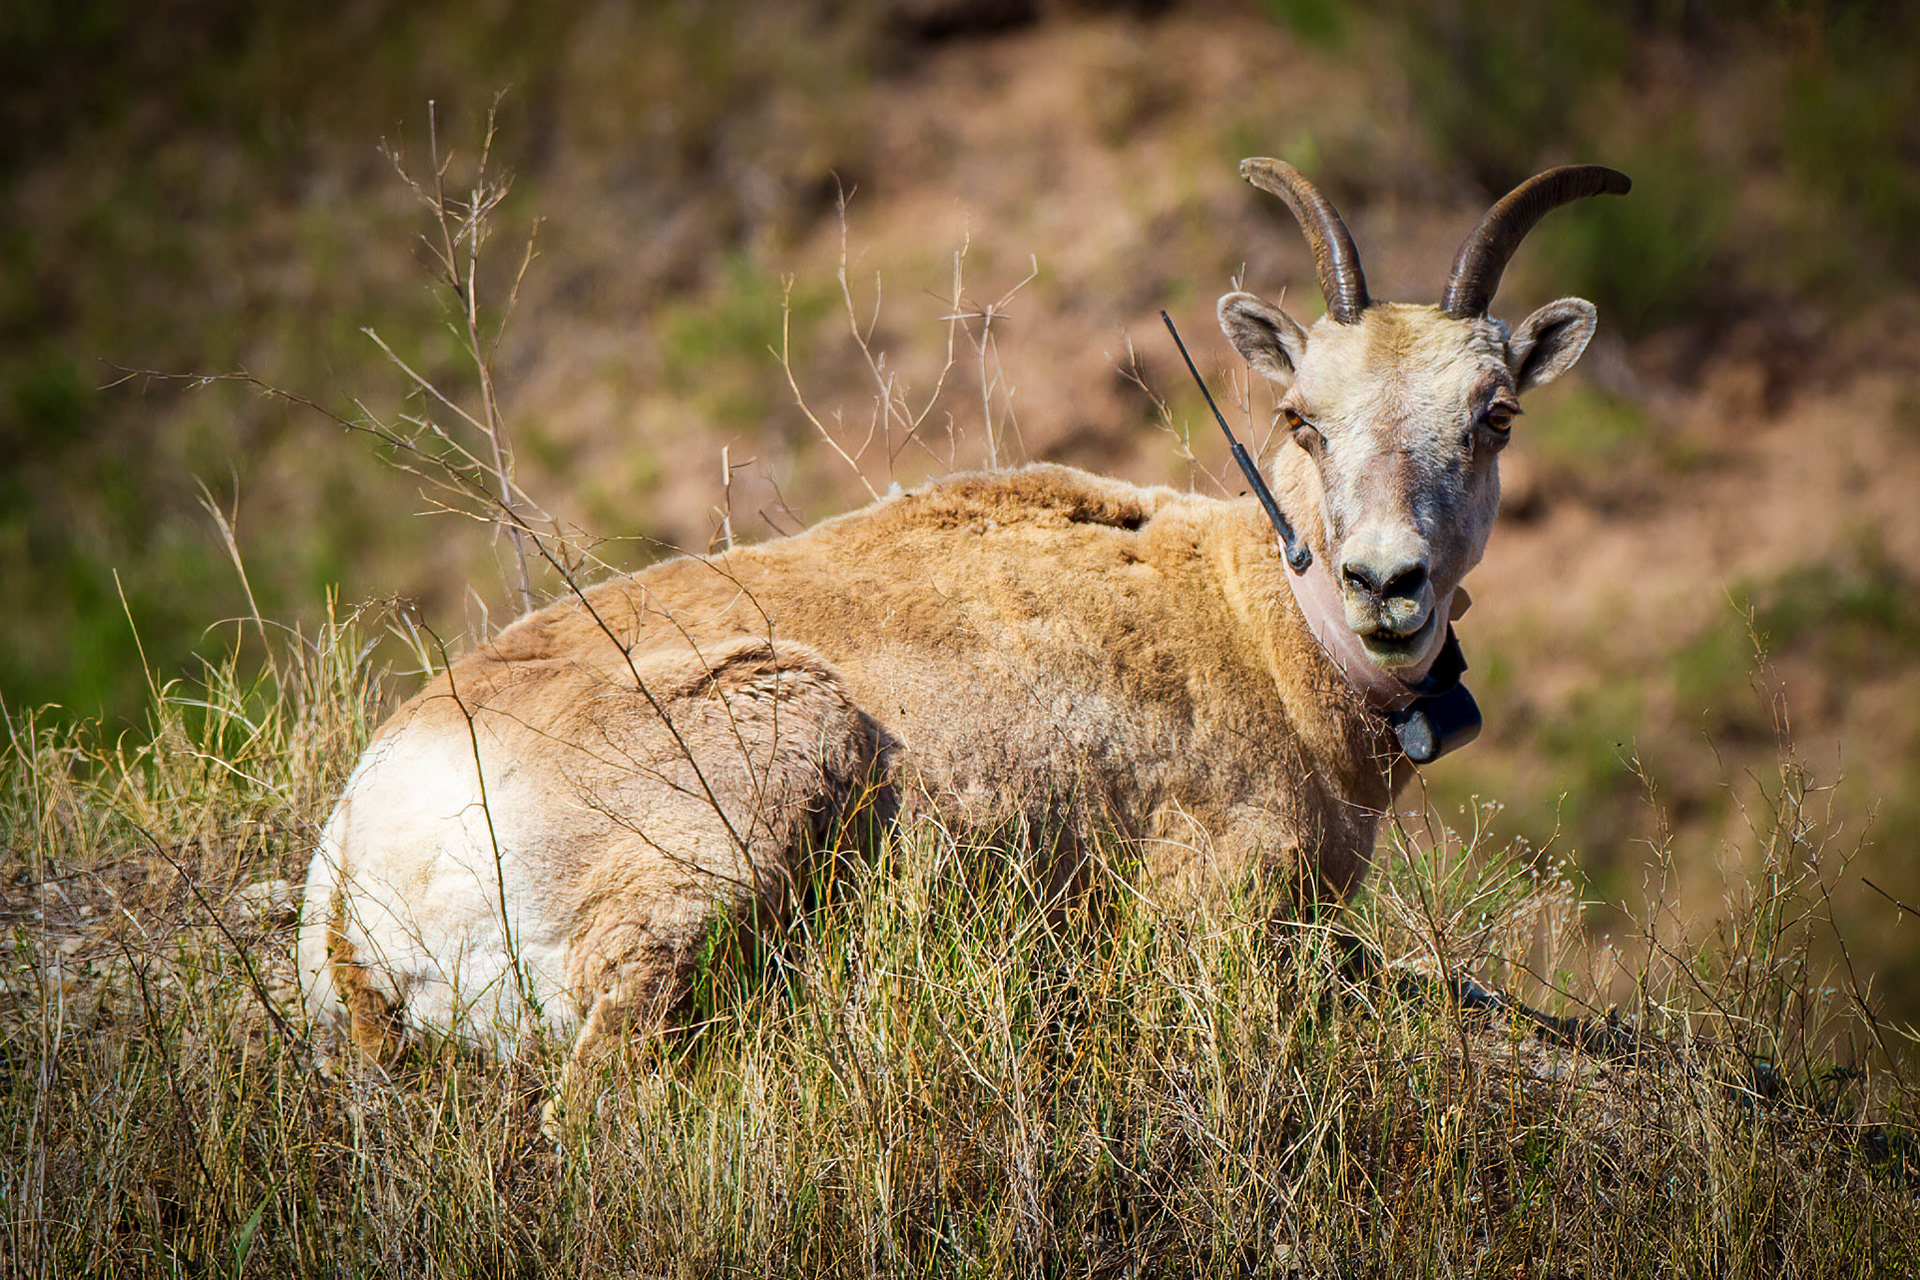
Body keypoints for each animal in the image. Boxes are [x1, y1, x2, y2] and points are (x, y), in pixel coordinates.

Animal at [297, 158, 1630, 1096]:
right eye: (1302, 415)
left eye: (1495, 412)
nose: (1386, 583)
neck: (1257, 626)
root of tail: (365, 860)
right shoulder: (1218, 919)